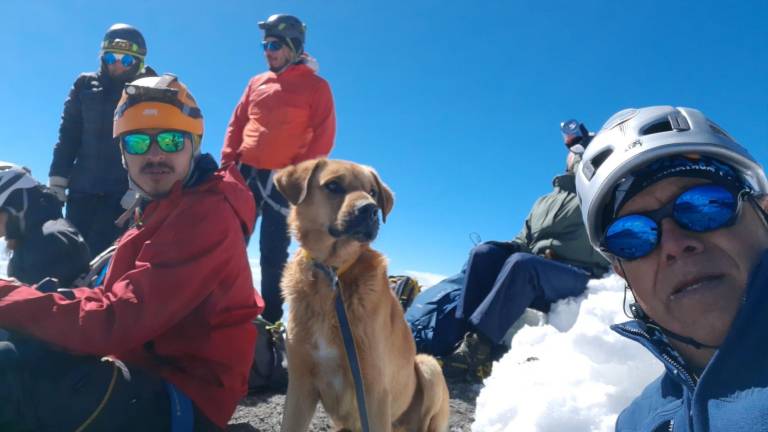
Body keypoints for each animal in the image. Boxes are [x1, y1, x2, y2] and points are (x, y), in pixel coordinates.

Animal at [274, 159, 450, 432]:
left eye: (373, 192)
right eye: (333, 185)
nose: (371, 210)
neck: (333, 274)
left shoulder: (375, 390)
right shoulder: (300, 386)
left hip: (428, 365)